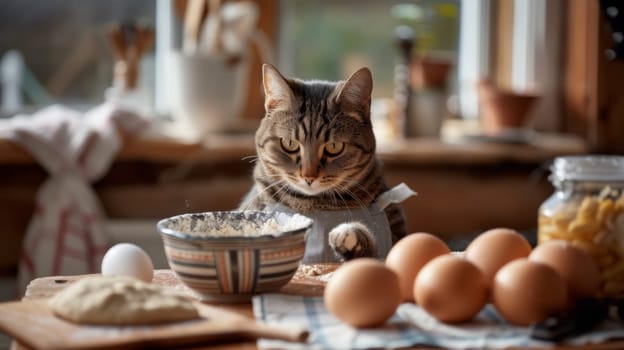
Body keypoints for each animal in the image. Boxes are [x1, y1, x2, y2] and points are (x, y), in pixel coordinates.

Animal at [238, 63, 410, 262]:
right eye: (289, 143)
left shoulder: (397, 237)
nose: (308, 176)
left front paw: (351, 233)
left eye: (334, 146)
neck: (316, 206)